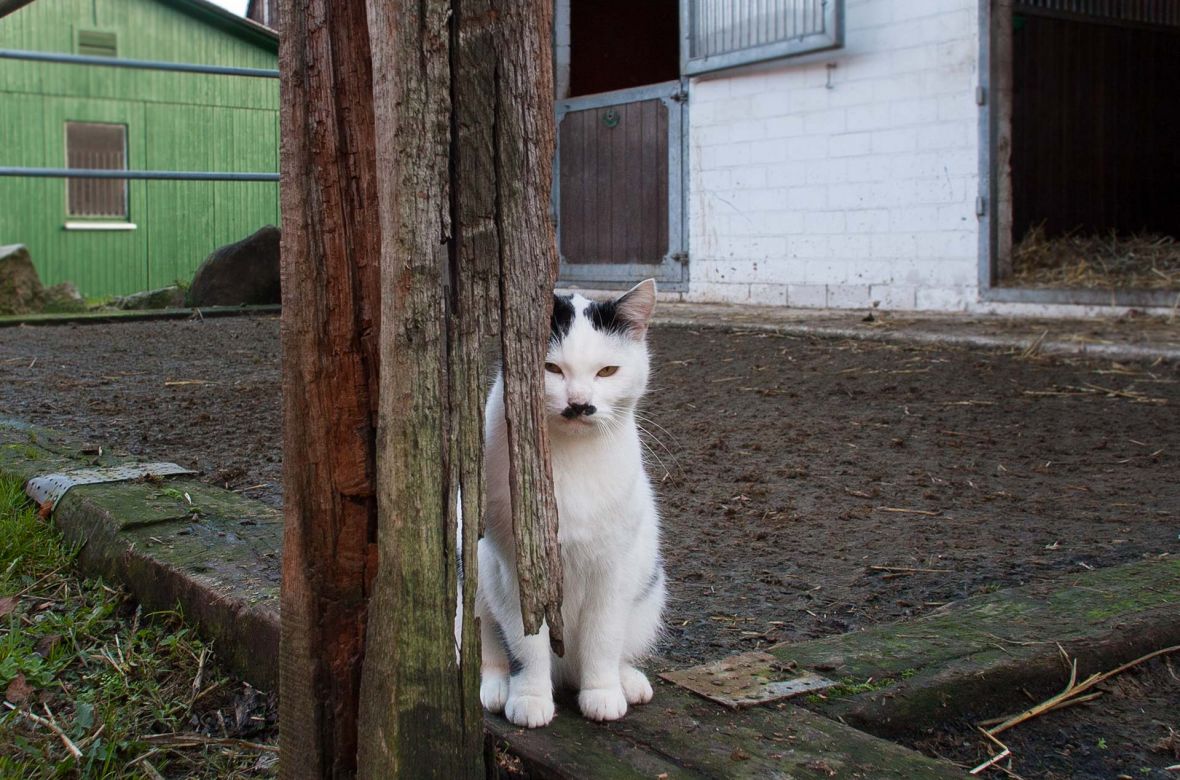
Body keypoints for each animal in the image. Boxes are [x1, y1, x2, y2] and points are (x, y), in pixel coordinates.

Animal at [476, 278, 665, 722]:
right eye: (551, 369)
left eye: (607, 371)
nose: (580, 403)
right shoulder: (515, 568)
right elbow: (526, 642)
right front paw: (529, 698)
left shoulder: (613, 567)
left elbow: (603, 636)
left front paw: (602, 692)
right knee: (488, 640)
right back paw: (496, 687)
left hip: (649, 590)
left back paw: (626, 680)